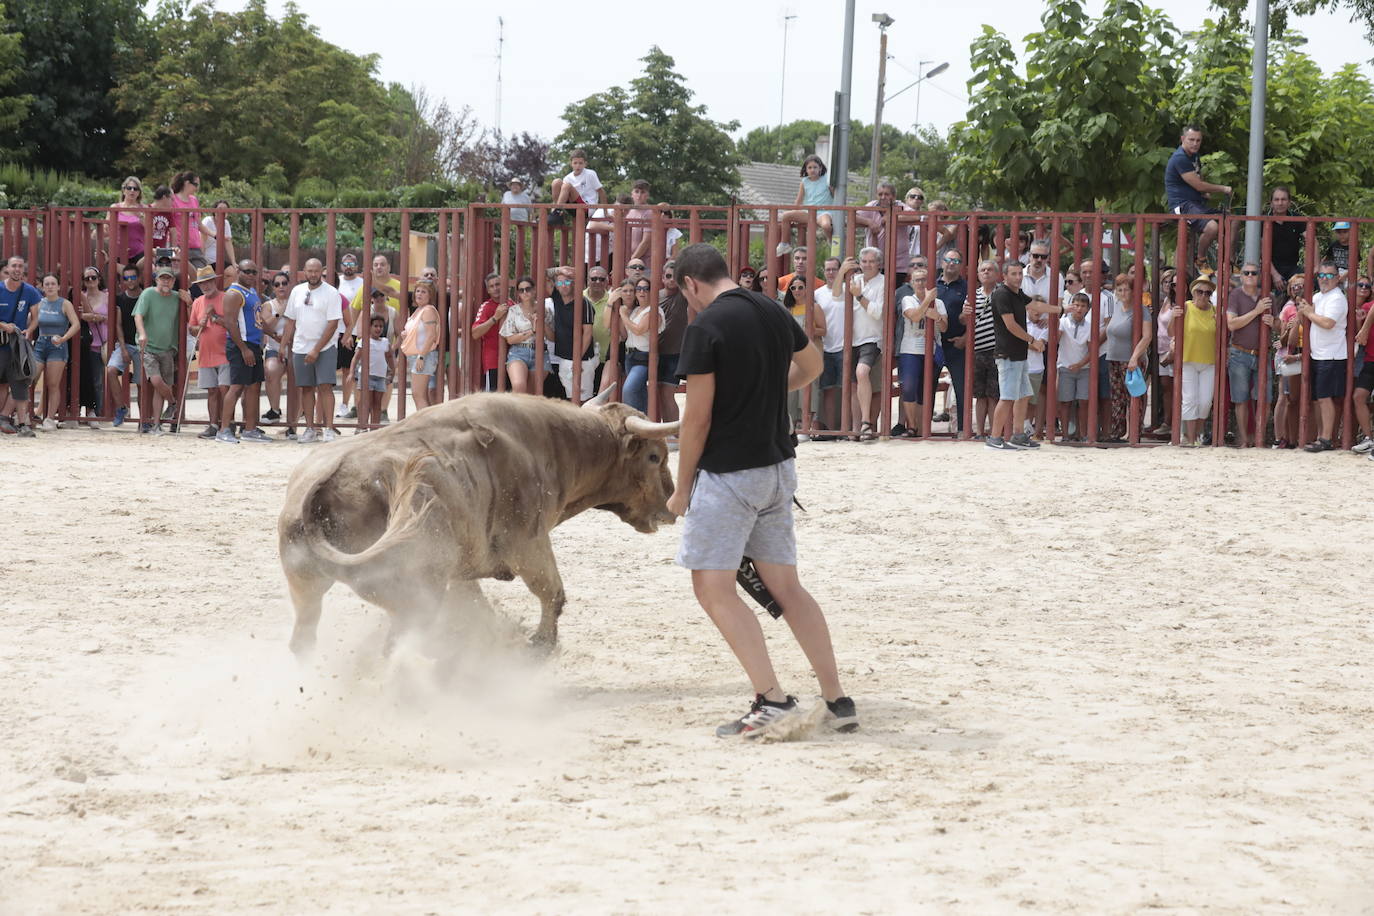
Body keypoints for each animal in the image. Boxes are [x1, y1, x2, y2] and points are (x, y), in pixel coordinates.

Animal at [280, 390, 681, 659]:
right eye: (654, 456)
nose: (671, 505)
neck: (550, 443)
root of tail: (329, 482)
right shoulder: (528, 542)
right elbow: (552, 592)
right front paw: (540, 645)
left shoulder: (463, 570)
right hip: (416, 594)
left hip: (306, 585)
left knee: (305, 637)